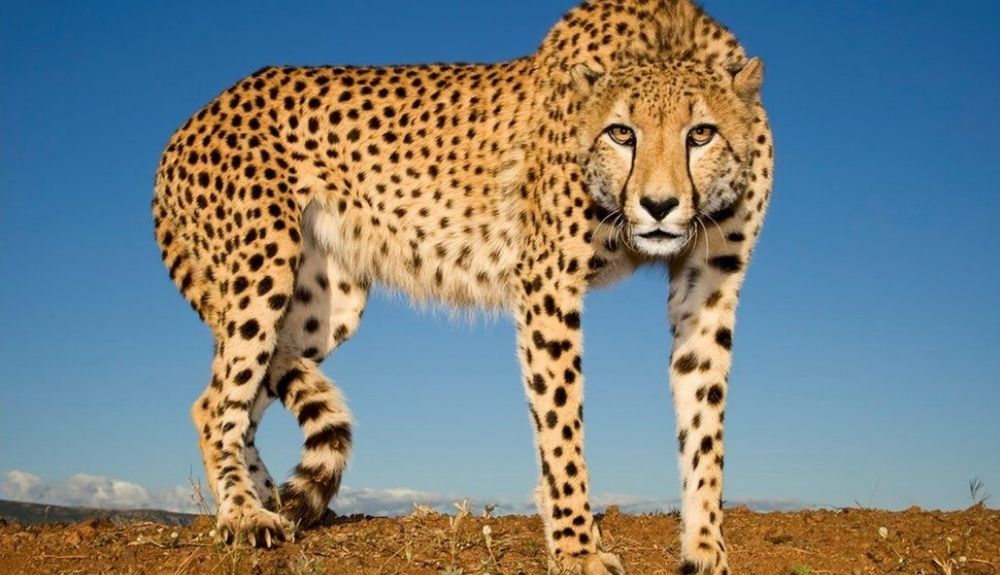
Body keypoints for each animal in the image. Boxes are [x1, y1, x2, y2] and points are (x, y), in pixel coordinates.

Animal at [151, 0, 773, 573]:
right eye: (622, 133)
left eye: (701, 134)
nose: (659, 206)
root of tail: (192, 120)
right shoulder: (546, 283)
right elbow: (561, 426)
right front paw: (576, 548)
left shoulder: (709, 285)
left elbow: (704, 420)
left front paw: (706, 550)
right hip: (263, 269)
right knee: (220, 403)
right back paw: (242, 515)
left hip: (323, 304)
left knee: (224, 394)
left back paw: (270, 502)